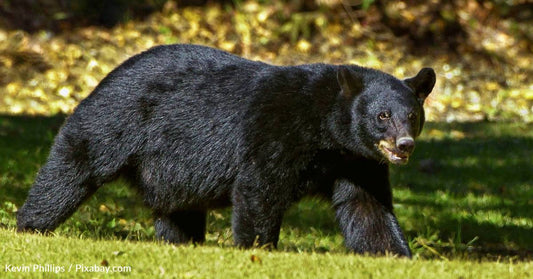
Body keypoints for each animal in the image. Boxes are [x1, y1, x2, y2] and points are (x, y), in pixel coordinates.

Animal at [16, 44, 434, 258]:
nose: (404, 145)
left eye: (412, 116)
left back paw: (181, 243)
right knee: (74, 165)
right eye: (382, 115)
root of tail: (108, 73)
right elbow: (259, 188)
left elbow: (367, 207)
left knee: (177, 209)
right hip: (116, 119)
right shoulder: (276, 131)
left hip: (170, 169)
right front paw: (258, 250)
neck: (325, 129)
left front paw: (395, 254)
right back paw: (30, 225)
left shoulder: (356, 160)